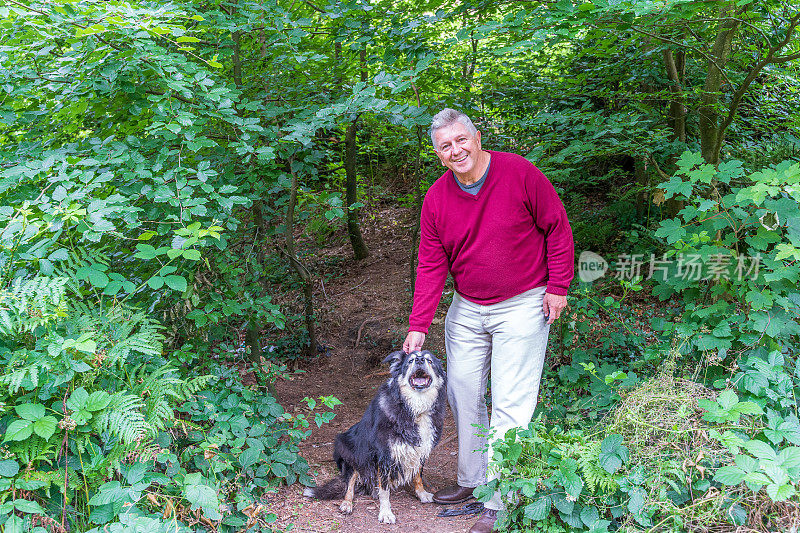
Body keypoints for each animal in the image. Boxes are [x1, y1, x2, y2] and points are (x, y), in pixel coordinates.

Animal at [304, 350, 446, 524]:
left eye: (429, 360)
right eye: (410, 361)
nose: (419, 360)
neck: (414, 409)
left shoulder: (420, 449)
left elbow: (418, 474)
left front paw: (421, 493)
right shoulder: (384, 455)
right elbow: (384, 489)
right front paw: (385, 512)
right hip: (353, 453)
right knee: (350, 483)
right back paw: (347, 503)